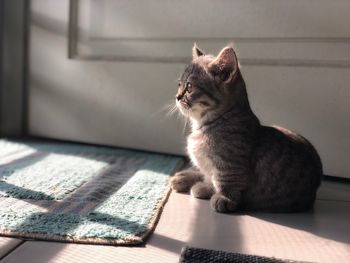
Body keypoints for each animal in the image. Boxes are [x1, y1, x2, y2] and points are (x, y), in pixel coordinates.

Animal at [170, 44, 322, 214]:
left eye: (189, 87)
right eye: (179, 85)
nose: (177, 97)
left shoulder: (230, 165)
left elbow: (226, 180)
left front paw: (224, 198)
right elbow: (208, 175)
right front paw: (202, 184)